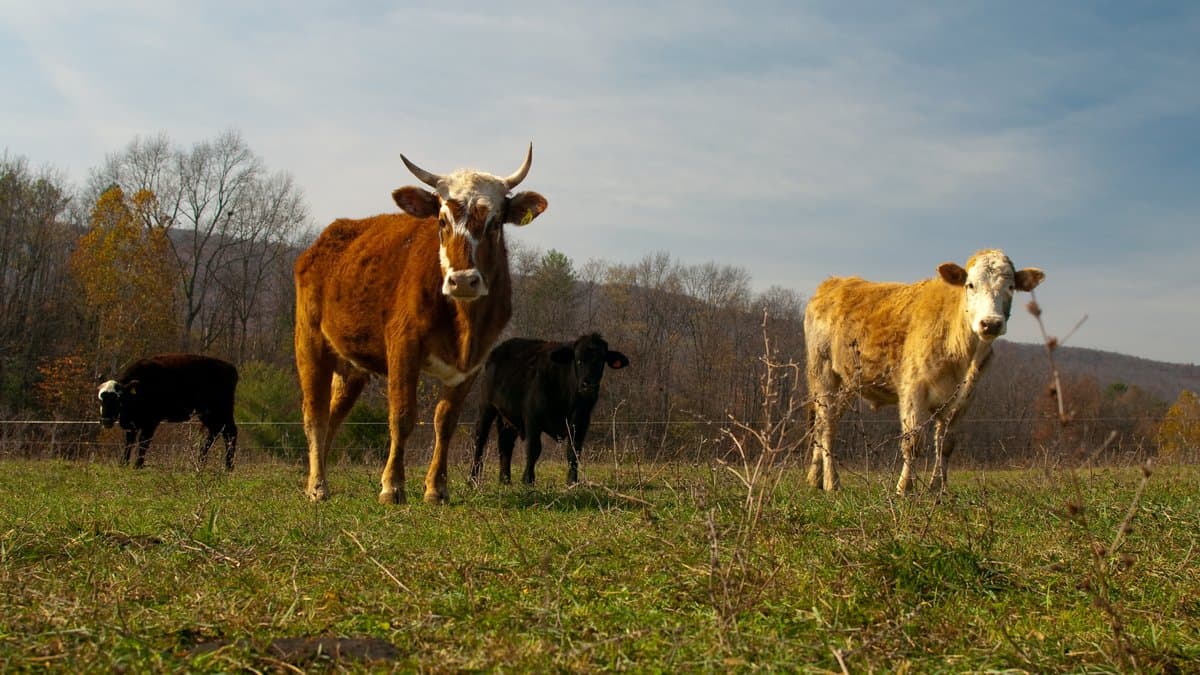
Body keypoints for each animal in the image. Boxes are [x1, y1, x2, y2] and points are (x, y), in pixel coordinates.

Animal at [97, 353, 239, 470]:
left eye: (118, 398)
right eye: (101, 399)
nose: (106, 420)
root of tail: (230, 368)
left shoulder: (151, 422)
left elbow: (143, 441)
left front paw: (138, 464)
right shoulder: (132, 423)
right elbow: (129, 442)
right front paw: (123, 463)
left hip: (219, 411)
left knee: (229, 432)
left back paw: (228, 466)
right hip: (209, 415)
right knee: (217, 432)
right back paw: (202, 462)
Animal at [295, 145, 548, 504]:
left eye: (496, 221)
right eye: (441, 220)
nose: (463, 280)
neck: (463, 323)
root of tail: (327, 236)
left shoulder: (472, 364)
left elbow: (446, 421)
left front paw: (436, 487)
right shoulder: (404, 347)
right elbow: (402, 416)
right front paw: (392, 485)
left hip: (350, 367)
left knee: (333, 415)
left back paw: (316, 478)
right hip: (310, 342)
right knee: (314, 414)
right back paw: (318, 486)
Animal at [471, 333, 629, 486]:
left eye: (601, 362)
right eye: (578, 360)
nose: (589, 386)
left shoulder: (581, 421)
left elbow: (574, 450)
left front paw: (572, 481)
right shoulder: (532, 418)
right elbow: (533, 449)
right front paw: (528, 479)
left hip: (508, 419)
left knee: (505, 444)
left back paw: (505, 480)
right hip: (486, 407)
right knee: (480, 441)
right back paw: (473, 478)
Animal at [804, 249, 1044, 496]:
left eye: (1011, 287)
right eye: (970, 284)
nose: (991, 323)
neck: (963, 356)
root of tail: (834, 282)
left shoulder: (964, 399)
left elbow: (945, 445)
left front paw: (939, 488)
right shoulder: (913, 390)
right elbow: (913, 443)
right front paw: (904, 488)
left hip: (847, 383)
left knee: (823, 424)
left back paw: (815, 478)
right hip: (822, 372)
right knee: (827, 425)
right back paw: (832, 481)